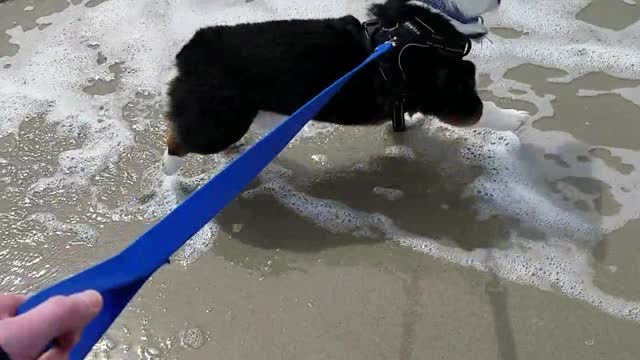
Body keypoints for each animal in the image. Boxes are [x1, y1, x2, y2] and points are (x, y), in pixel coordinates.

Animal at [160, 0, 524, 174]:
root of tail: (191, 51)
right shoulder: (452, 96)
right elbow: (484, 110)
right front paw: (518, 119)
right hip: (218, 124)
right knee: (178, 141)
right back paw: (170, 176)